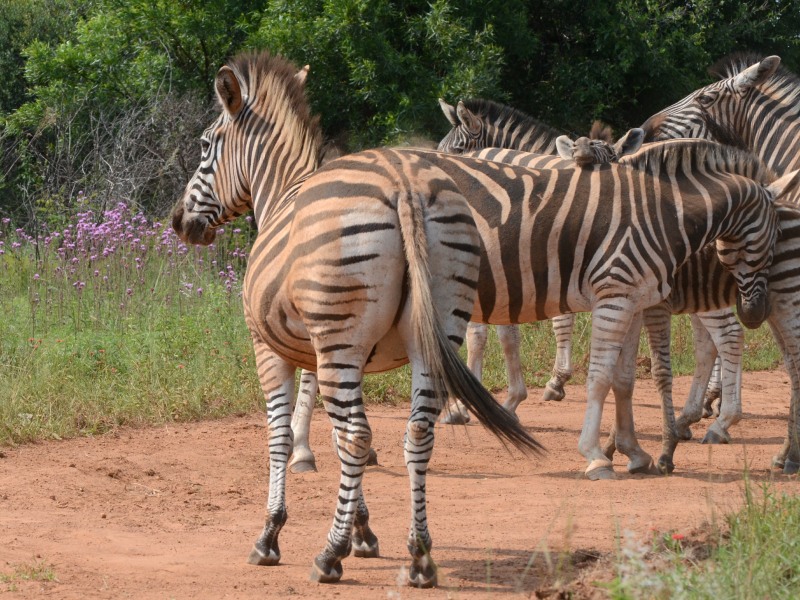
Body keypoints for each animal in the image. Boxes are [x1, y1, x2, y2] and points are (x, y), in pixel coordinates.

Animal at [172, 52, 782, 584]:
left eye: (203, 146)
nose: (180, 222)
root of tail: (403, 190)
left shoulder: (289, 343)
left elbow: (297, 427)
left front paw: (287, 515)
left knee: (722, 337)